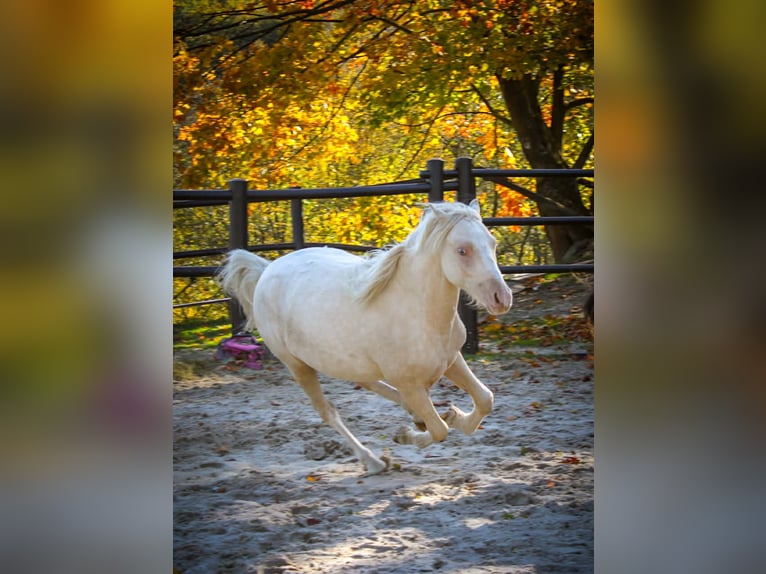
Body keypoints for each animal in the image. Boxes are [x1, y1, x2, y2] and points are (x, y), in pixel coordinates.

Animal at [219, 199, 513, 475]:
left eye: (492, 243)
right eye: (462, 250)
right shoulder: (407, 382)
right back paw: (374, 461)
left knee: (366, 382)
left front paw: (453, 416)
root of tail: (266, 270)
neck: (416, 312)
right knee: (328, 411)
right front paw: (407, 435)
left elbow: (485, 399)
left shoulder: (451, 360)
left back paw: (412, 416)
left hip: (345, 360)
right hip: (298, 365)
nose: (502, 298)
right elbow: (439, 430)